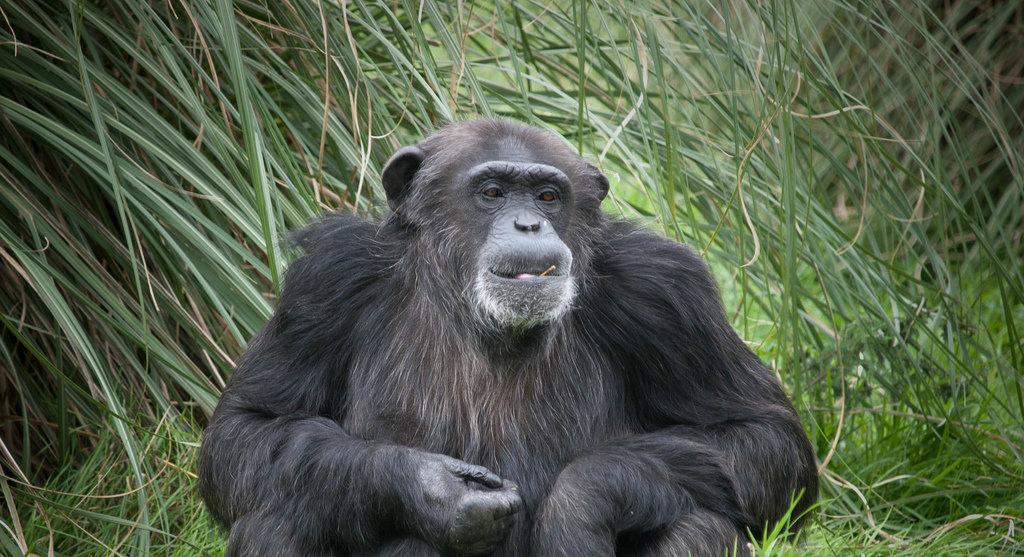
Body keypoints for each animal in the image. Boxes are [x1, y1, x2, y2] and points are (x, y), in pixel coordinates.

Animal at [197, 116, 815, 552]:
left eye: (548, 196)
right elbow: (246, 431)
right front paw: (430, 489)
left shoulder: (667, 291)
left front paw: (581, 504)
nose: (529, 224)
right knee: (276, 521)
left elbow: (762, 438)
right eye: (492, 191)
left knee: (698, 528)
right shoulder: (326, 282)